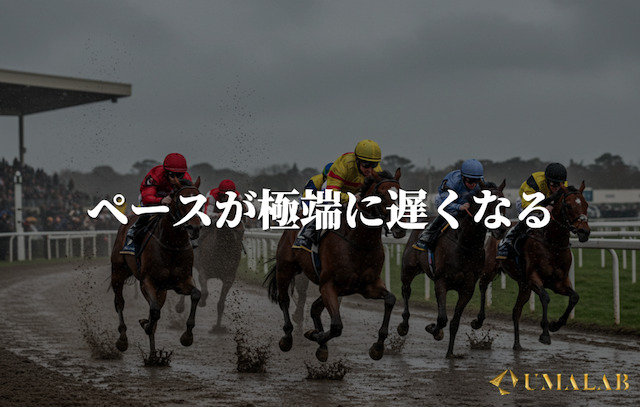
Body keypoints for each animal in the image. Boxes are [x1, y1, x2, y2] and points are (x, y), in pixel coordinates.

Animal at [110, 177, 203, 357]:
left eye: (201, 202)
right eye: (181, 201)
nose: (195, 228)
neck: (172, 244)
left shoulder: (181, 282)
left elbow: (196, 294)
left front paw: (187, 337)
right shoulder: (147, 281)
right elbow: (154, 311)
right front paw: (145, 324)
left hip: (162, 289)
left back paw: (154, 356)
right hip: (118, 272)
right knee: (119, 302)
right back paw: (122, 339)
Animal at [175, 195, 245, 332]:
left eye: (243, 210)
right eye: (229, 210)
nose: (240, 228)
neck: (221, 249)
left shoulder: (229, 277)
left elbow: (221, 304)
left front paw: (217, 327)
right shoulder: (204, 271)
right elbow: (205, 291)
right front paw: (202, 302)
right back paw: (180, 306)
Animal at [265, 169, 405, 362]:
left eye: (403, 194)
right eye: (382, 195)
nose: (400, 228)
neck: (359, 241)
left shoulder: (367, 285)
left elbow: (390, 299)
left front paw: (377, 347)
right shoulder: (328, 284)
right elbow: (337, 326)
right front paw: (314, 335)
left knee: (315, 309)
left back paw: (321, 344)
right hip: (285, 268)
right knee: (284, 300)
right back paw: (287, 337)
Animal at [397, 180, 508, 358]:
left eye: (504, 204)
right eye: (487, 204)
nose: (501, 229)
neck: (465, 245)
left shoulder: (467, 287)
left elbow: (454, 321)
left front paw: (450, 353)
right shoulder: (441, 280)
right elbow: (442, 319)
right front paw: (433, 329)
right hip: (409, 268)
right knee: (406, 290)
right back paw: (404, 325)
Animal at [475, 182, 590, 350]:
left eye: (586, 204)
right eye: (568, 206)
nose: (584, 231)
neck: (552, 243)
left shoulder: (559, 282)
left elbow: (575, 297)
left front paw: (556, 325)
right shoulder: (533, 278)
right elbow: (545, 296)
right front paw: (545, 333)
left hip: (523, 286)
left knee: (516, 311)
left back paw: (517, 344)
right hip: (490, 269)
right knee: (483, 286)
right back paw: (478, 320)